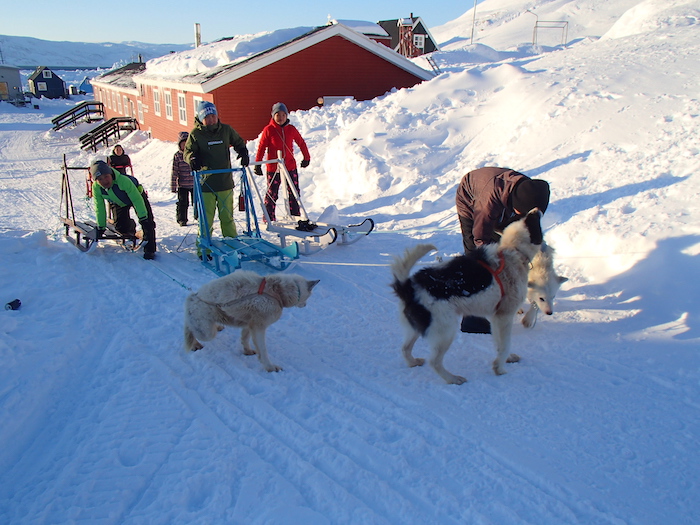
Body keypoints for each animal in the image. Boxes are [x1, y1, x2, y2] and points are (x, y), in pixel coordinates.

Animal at [183, 272, 320, 370]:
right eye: (309, 296)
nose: (305, 305)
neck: (278, 291)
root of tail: (193, 296)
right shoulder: (259, 327)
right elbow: (263, 350)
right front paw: (269, 367)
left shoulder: (250, 325)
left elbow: (245, 339)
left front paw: (247, 351)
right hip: (206, 333)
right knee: (191, 329)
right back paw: (195, 343)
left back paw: (218, 326)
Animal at [392, 209, 544, 384]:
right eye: (533, 219)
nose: (537, 210)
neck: (513, 251)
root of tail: (408, 286)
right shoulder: (504, 317)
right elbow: (505, 345)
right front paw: (499, 368)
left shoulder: (495, 318)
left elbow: (499, 344)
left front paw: (506, 359)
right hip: (445, 331)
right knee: (434, 362)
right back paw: (452, 378)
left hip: (416, 328)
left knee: (405, 349)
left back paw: (413, 362)